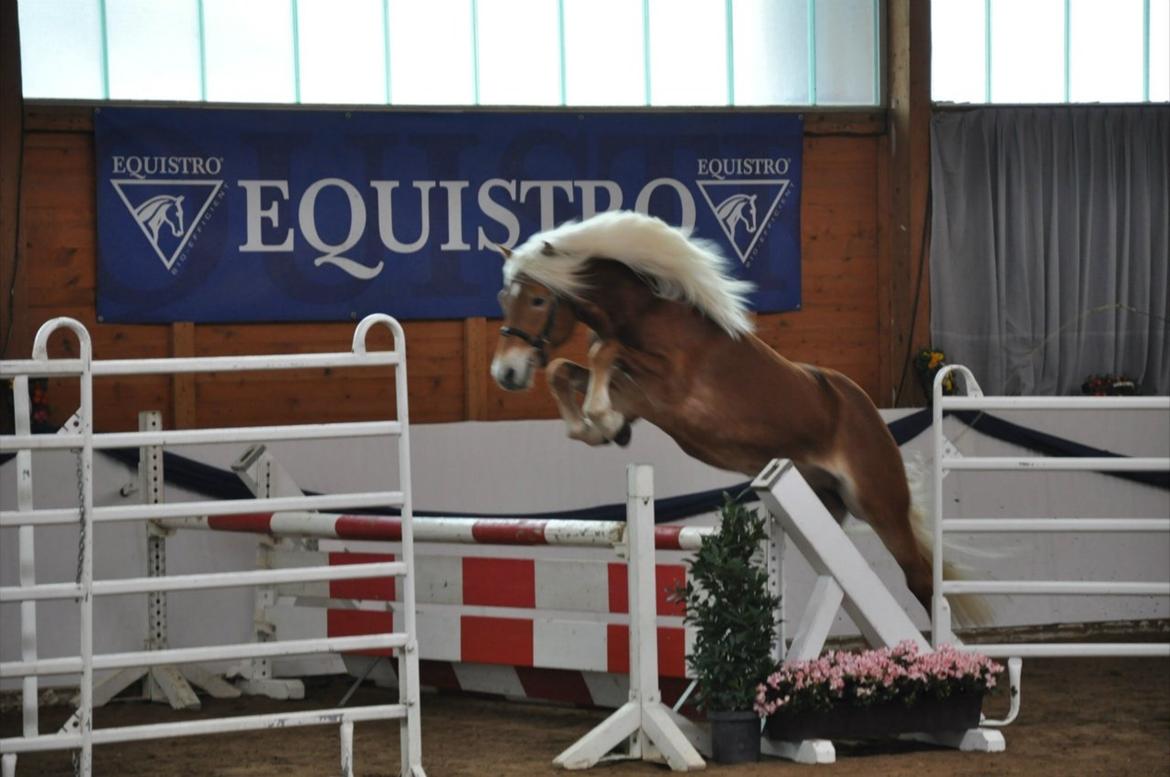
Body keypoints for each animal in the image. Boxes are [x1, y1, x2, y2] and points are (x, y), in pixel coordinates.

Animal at [486, 209, 978, 622]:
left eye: (536, 300)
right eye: (504, 299)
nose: (506, 373)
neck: (646, 317)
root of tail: (870, 418)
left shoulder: (666, 385)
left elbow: (603, 352)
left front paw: (600, 420)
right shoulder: (637, 396)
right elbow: (563, 369)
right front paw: (599, 428)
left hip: (878, 504)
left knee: (920, 578)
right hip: (825, 501)